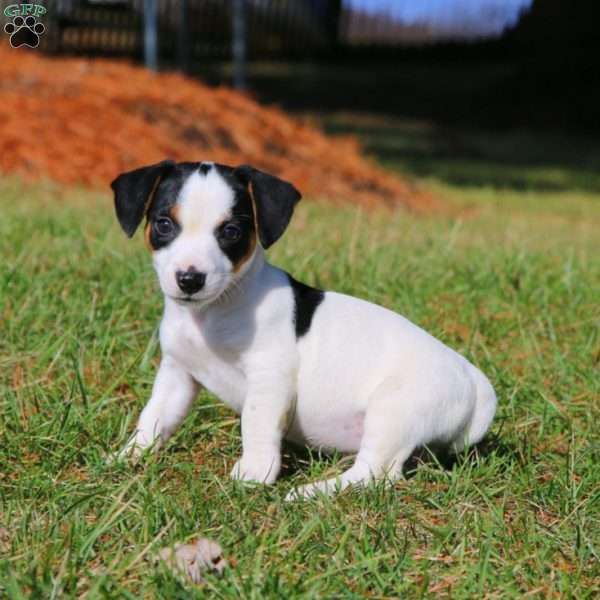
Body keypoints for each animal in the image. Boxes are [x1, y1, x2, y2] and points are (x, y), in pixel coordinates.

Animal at [110, 158, 494, 496]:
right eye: (164, 224)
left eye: (231, 231)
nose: (190, 279)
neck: (215, 311)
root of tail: (474, 381)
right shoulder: (178, 373)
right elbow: (154, 418)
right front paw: (127, 456)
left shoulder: (269, 376)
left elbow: (255, 422)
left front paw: (254, 473)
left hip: (393, 411)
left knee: (375, 473)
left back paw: (310, 492)